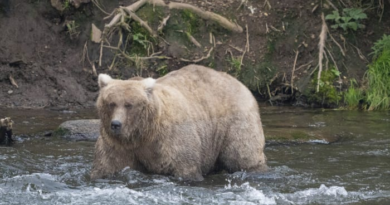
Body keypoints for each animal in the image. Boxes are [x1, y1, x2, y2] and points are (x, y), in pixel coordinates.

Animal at [91, 64, 266, 181]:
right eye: (111, 103)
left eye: (129, 105)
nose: (116, 124)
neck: (144, 133)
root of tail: (239, 82)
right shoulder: (118, 145)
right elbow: (108, 165)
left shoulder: (172, 139)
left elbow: (186, 167)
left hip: (235, 121)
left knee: (242, 153)